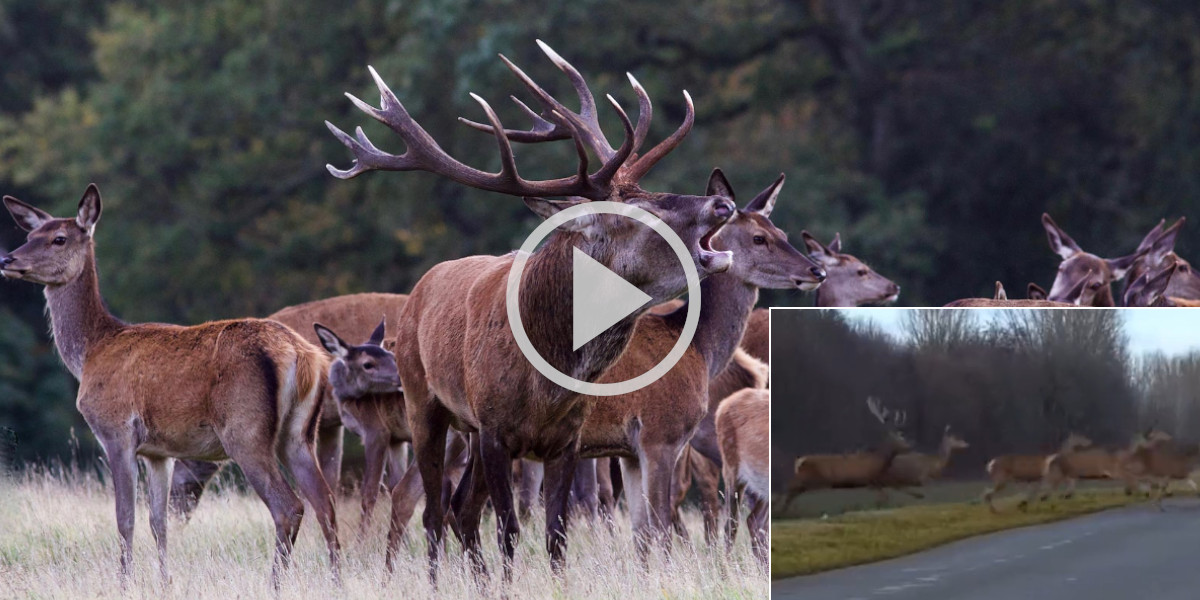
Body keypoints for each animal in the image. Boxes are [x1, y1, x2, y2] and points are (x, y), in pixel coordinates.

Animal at [1, 186, 338, 585]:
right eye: (29, 234)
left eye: (59, 238)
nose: (7, 258)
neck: (90, 353)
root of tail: (303, 355)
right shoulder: (160, 452)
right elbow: (158, 522)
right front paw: (165, 582)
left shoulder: (116, 430)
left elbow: (125, 519)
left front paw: (125, 583)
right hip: (299, 433)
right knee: (326, 504)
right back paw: (337, 580)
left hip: (245, 429)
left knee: (289, 506)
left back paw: (274, 584)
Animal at [331, 41, 739, 576]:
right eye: (638, 214)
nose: (722, 205)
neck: (546, 380)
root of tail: (422, 287)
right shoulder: (496, 433)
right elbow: (508, 531)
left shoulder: (566, 439)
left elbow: (556, 535)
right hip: (426, 404)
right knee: (434, 513)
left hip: (469, 432)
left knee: (461, 510)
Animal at [777, 396, 907, 508]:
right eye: (899, 437)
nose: (909, 446)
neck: (879, 461)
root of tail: (799, 461)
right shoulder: (869, 478)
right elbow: (885, 494)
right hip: (811, 476)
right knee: (790, 485)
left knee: (792, 489)